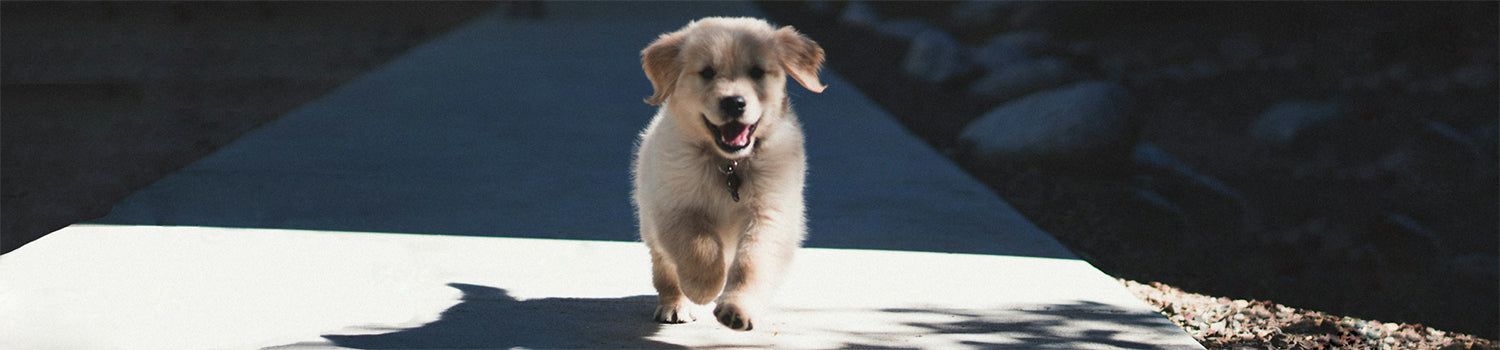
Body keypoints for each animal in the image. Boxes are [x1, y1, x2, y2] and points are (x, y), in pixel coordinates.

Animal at [630, 17, 828, 330]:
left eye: (757, 72)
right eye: (707, 73)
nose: (734, 102)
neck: (728, 164)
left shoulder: (770, 212)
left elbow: (752, 262)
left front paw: (737, 308)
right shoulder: (674, 206)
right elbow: (699, 246)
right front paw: (704, 287)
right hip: (650, 223)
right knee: (665, 270)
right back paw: (675, 304)